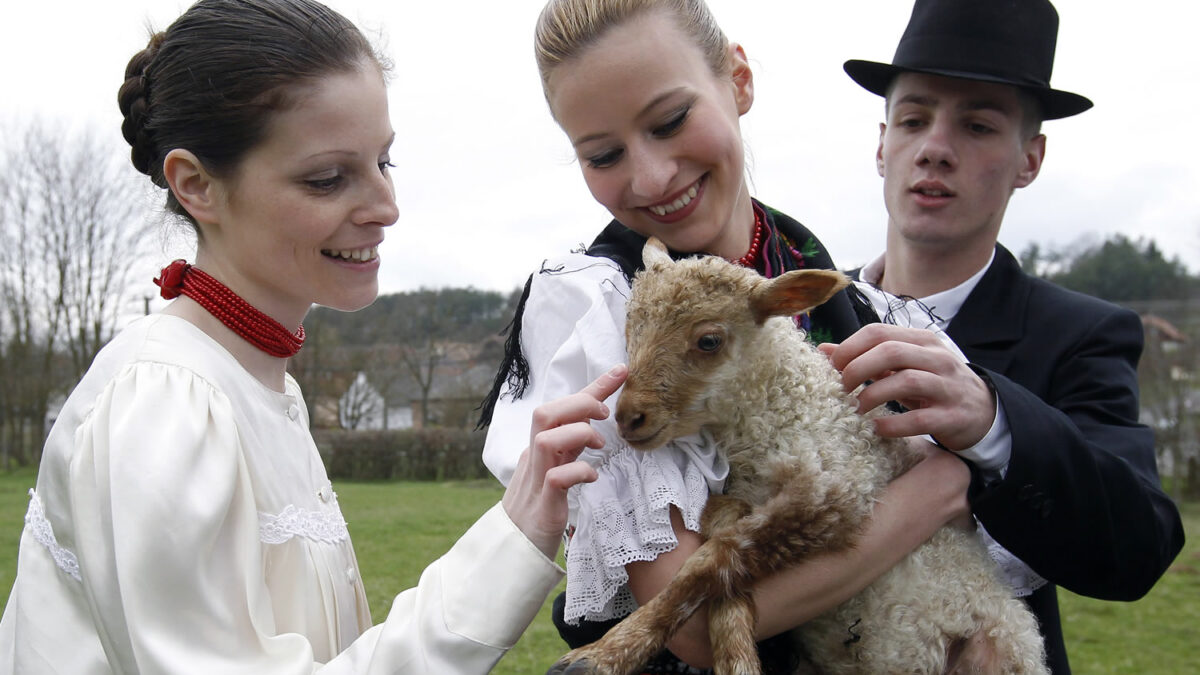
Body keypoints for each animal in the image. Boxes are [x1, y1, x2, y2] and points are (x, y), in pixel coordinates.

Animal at [549, 234, 1046, 667]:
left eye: (709, 340)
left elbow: (714, 559)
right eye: (630, 327)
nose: (629, 417)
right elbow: (720, 535)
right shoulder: (747, 494)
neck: (787, 408)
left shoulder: (836, 488)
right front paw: (734, 642)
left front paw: (602, 656)